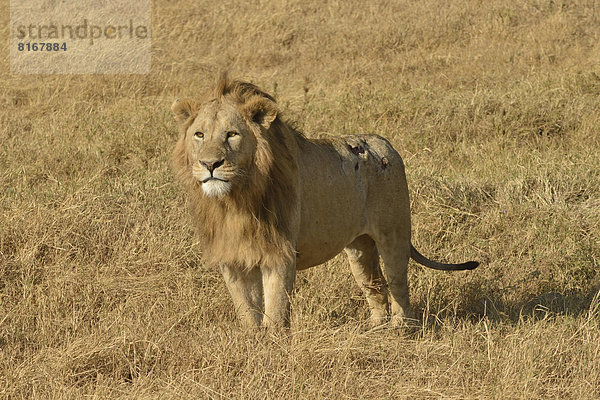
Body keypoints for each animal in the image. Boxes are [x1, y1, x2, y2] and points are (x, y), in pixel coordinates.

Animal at [172, 74, 478, 328]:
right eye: (199, 134)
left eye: (232, 134)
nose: (210, 164)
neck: (235, 200)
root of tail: (387, 144)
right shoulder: (232, 257)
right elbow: (247, 311)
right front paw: (252, 344)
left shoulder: (280, 254)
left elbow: (275, 311)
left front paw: (272, 346)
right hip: (359, 247)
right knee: (375, 284)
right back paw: (375, 329)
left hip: (394, 233)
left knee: (398, 284)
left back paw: (401, 329)